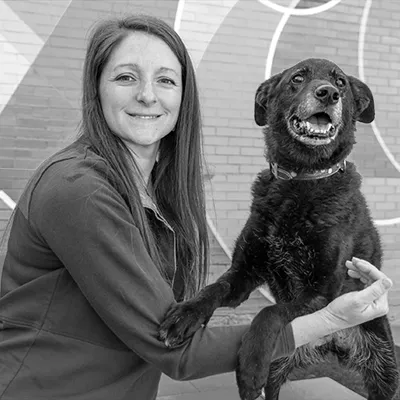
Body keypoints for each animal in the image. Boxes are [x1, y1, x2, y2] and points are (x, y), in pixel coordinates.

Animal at [159, 58, 396, 400]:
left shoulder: (322, 291)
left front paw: (250, 366)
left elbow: (269, 313)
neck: (301, 179)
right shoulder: (244, 274)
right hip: (278, 369)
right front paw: (184, 315)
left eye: (341, 82)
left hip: (384, 367)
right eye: (297, 78)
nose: (329, 94)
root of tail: (331, 344)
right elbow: (212, 289)